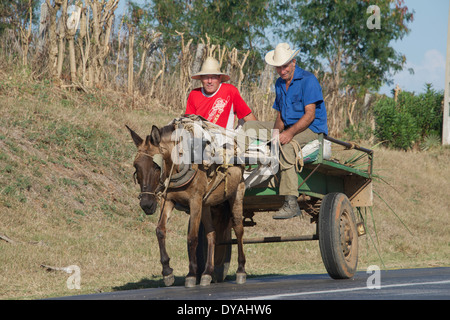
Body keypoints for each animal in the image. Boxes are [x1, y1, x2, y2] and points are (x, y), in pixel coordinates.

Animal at [125, 119, 246, 288]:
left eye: (156, 166)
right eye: (136, 166)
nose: (146, 204)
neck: (179, 165)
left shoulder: (194, 202)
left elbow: (192, 237)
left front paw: (191, 274)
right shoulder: (168, 200)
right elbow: (160, 230)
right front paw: (167, 271)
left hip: (236, 194)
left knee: (238, 229)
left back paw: (241, 270)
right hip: (206, 205)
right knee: (211, 234)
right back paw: (207, 273)